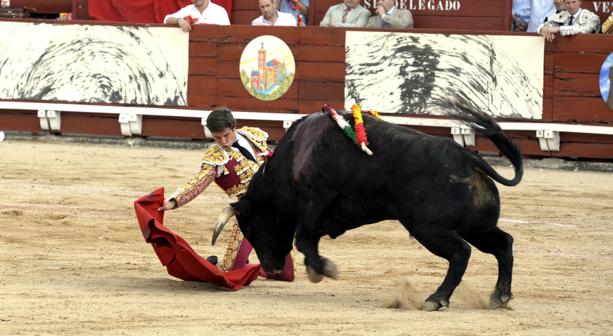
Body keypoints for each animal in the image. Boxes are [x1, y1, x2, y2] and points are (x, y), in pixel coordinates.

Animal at [214, 101, 520, 310]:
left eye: (254, 226)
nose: (273, 268)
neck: (292, 158)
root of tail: (469, 158)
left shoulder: (315, 203)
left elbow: (303, 240)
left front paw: (323, 269)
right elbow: (307, 241)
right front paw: (316, 269)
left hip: (429, 228)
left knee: (460, 253)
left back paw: (437, 298)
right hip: (476, 227)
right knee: (503, 244)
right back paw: (500, 296)